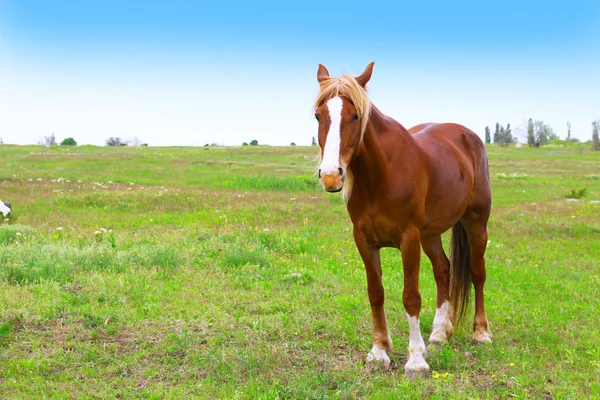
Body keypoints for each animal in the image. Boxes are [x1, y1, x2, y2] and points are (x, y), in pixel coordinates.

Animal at [314, 62, 492, 378]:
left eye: (355, 115)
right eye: (318, 115)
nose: (331, 176)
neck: (381, 175)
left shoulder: (409, 239)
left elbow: (411, 297)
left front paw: (416, 360)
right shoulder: (364, 240)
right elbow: (375, 293)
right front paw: (379, 351)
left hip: (476, 224)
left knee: (477, 273)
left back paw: (480, 333)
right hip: (430, 234)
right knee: (443, 270)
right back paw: (439, 332)